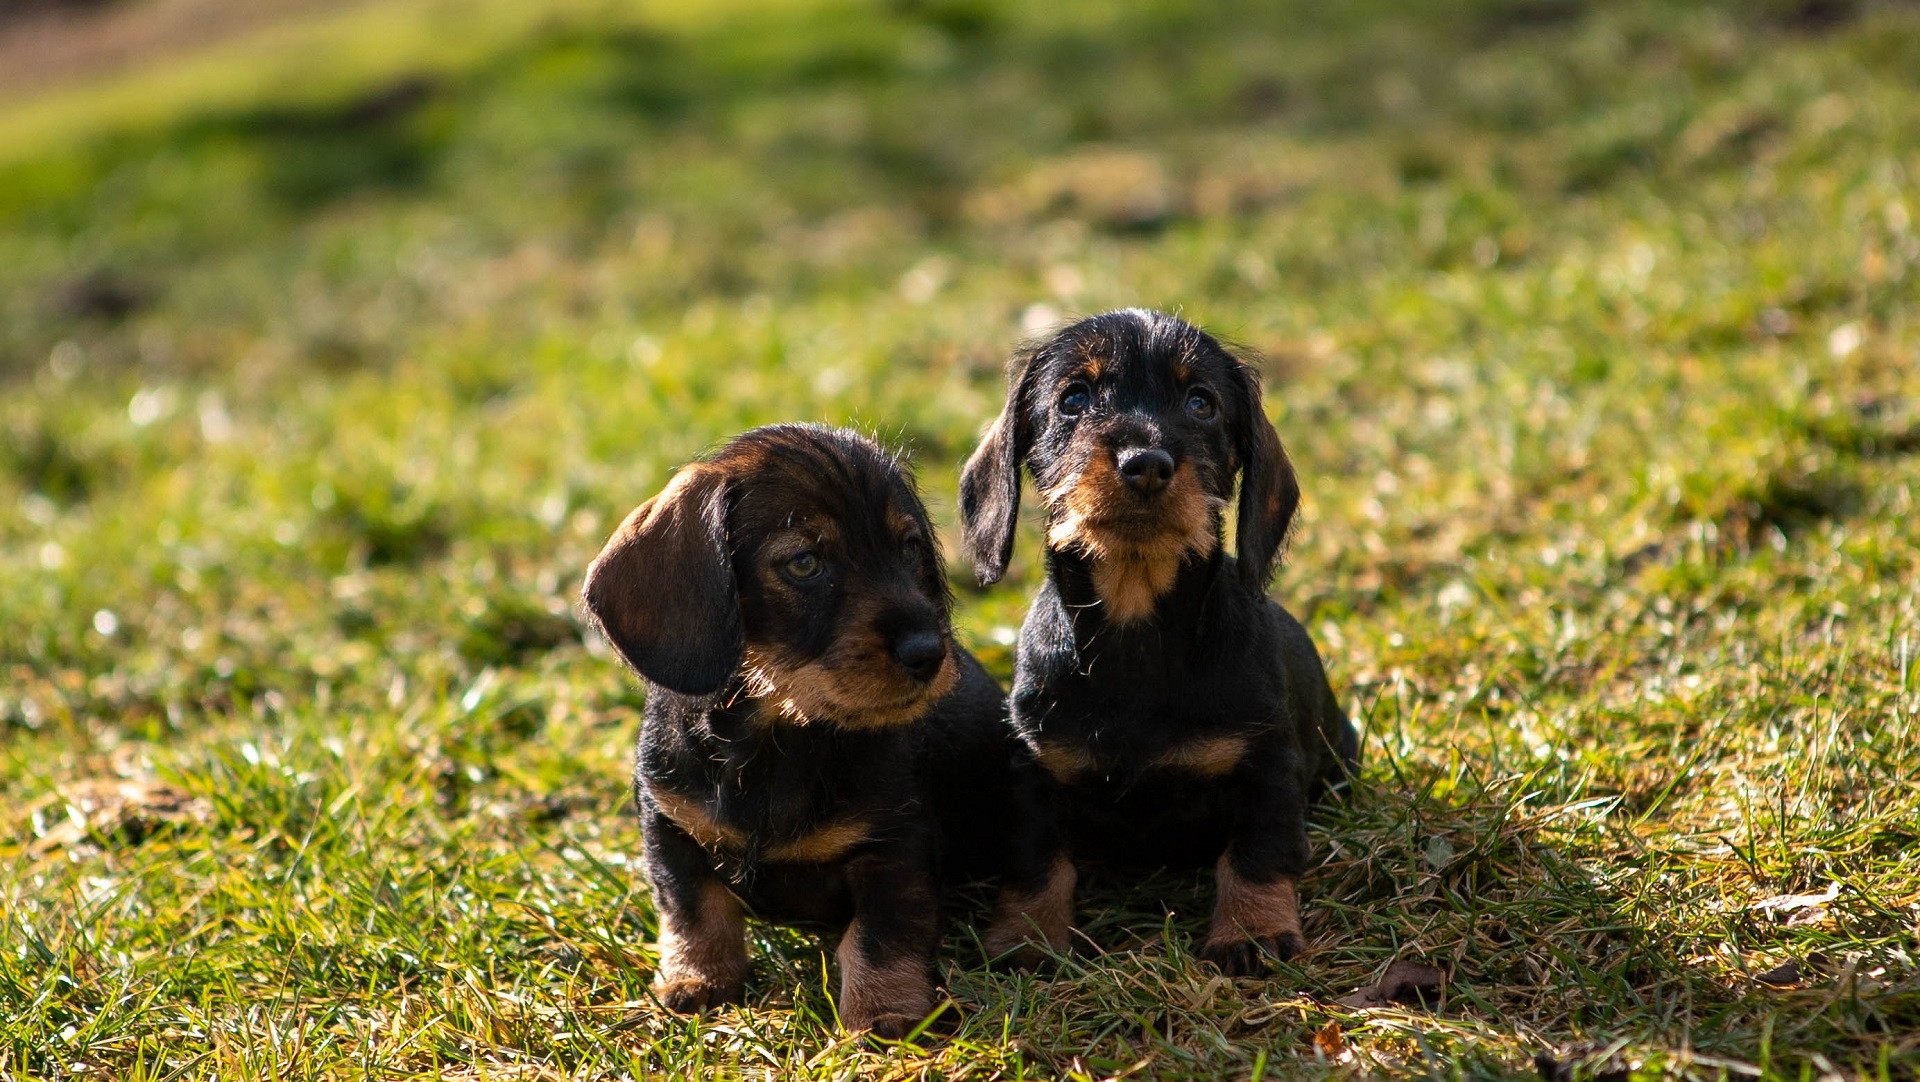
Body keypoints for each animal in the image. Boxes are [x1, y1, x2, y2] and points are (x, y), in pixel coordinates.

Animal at [576, 423, 1021, 1035]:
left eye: (909, 549)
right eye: (805, 563)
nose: (930, 654)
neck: (777, 734)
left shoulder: (894, 846)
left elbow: (881, 936)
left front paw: (884, 1012)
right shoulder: (669, 826)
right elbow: (693, 911)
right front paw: (697, 980)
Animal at [956, 308, 1351, 974]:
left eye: (1201, 403)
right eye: (1074, 398)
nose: (1146, 463)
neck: (1136, 625)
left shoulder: (1268, 766)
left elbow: (1257, 854)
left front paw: (1252, 932)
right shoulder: (1033, 773)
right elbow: (1038, 864)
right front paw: (1029, 940)